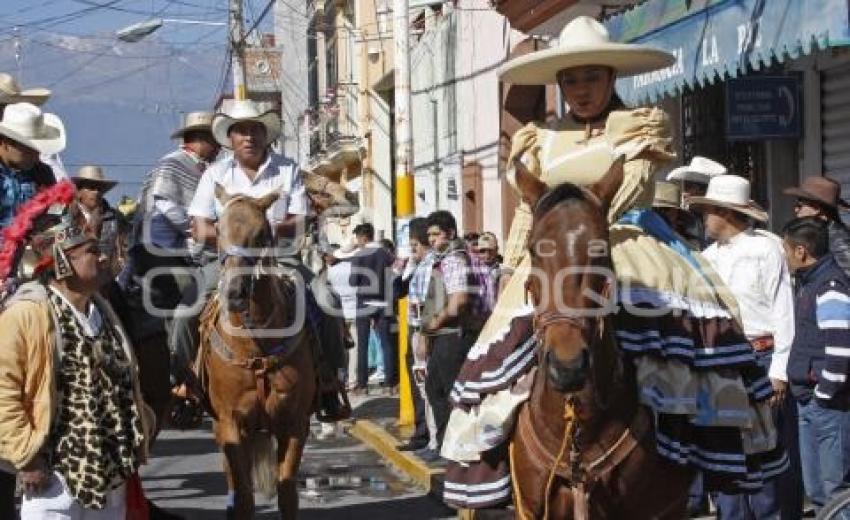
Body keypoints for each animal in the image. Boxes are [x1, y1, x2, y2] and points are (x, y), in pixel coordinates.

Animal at [197, 188, 316, 520]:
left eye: (262, 233)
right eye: (218, 230)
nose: (235, 293)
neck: (256, 346)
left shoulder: (294, 423)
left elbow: (287, 492)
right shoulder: (231, 423)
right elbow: (245, 498)